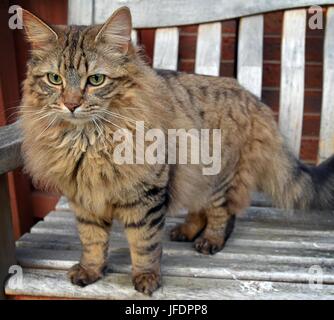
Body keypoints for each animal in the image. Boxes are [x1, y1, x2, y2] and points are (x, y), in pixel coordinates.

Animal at [18, 6, 334, 296]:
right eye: (54, 79)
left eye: (96, 80)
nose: (71, 104)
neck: (88, 141)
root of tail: (251, 97)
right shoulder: (84, 198)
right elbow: (92, 240)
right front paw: (91, 270)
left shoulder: (146, 196)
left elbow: (144, 244)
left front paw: (146, 278)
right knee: (202, 209)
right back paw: (186, 231)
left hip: (218, 177)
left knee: (223, 214)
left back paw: (210, 241)